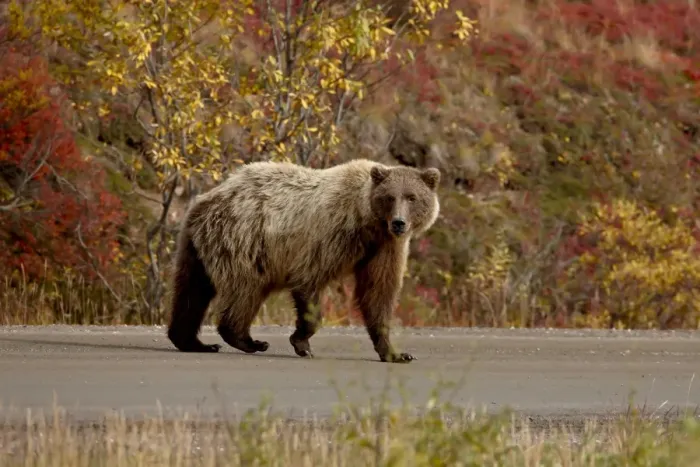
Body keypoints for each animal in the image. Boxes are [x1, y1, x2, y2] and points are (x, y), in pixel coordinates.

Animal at [166, 158, 441, 363]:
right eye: (390, 197)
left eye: (412, 197)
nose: (399, 223)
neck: (368, 222)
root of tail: (208, 198)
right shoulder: (331, 235)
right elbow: (309, 279)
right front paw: (302, 343)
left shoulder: (384, 248)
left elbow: (378, 293)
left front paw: (396, 353)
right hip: (244, 242)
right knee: (245, 290)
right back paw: (248, 340)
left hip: (195, 247)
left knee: (191, 291)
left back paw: (193, 341)